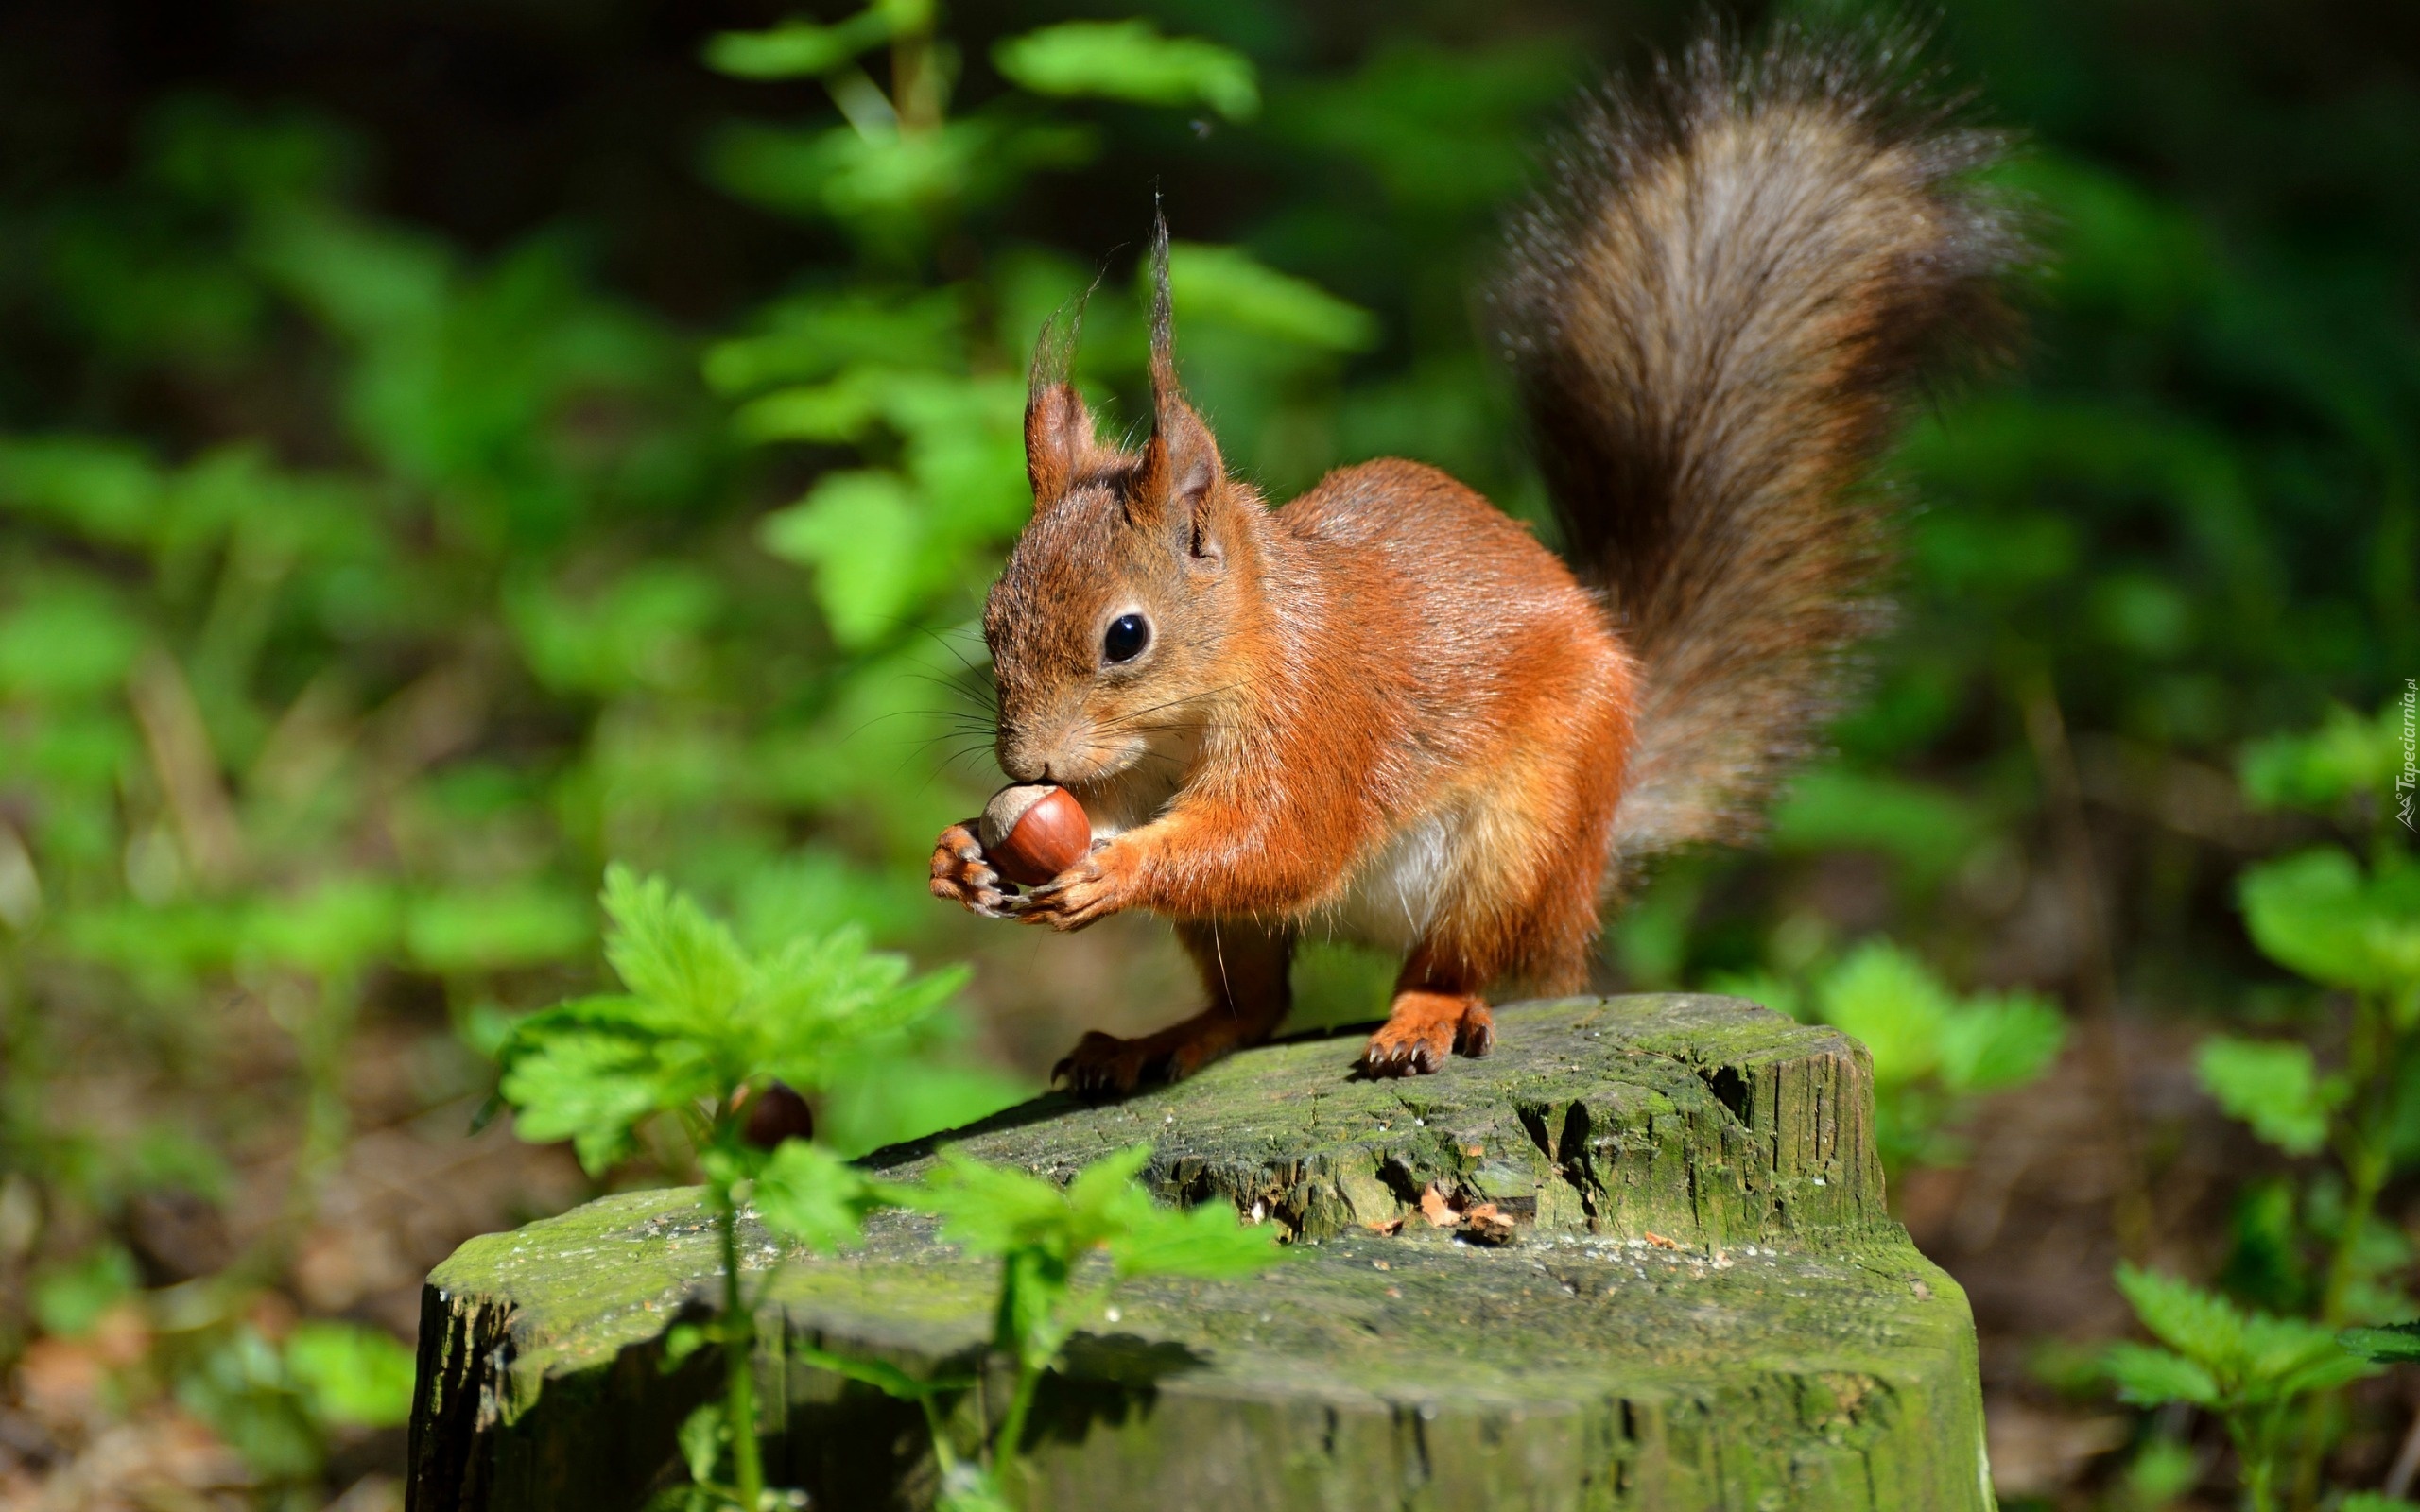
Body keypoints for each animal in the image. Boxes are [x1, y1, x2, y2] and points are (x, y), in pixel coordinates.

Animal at [924, 32, 2023, 1098]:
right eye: (991, 620)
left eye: (1126, 635)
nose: (1025, 767)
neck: (1211, 690)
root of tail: (1591, 863)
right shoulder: (1135, 773)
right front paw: (963, 857)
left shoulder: (1322, 725)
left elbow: (1274, 843)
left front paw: (1108, 872)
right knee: (1255, 1008)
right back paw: (1158, 1039)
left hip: (1516, 845)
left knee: (1458, 962)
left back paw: (1428, 1016)